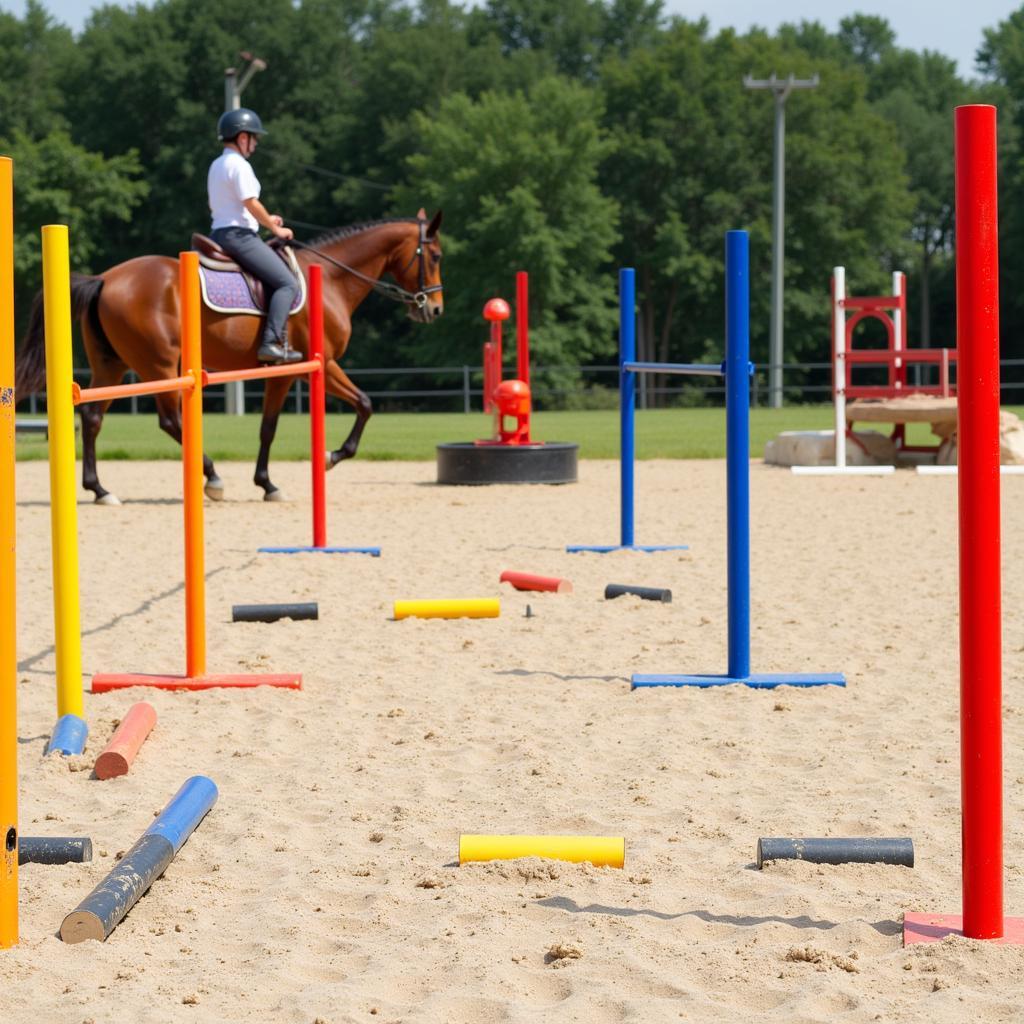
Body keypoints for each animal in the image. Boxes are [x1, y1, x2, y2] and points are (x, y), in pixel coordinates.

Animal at [12, 209, 444, 505]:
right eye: (436, 255)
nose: (435, 309)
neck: (333, 279)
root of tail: (105, 278)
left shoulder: (283, 374)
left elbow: (268, 427)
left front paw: (267, 483)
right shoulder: (314, 366)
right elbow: (365, 404)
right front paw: (330, 457)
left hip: (112, 366)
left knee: (92, 417)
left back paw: (100, 489)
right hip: (159, 366)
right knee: (170, 421)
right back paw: (211, 476)